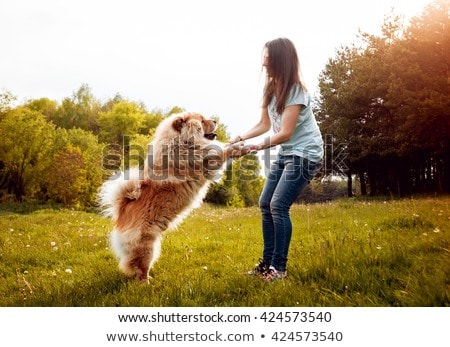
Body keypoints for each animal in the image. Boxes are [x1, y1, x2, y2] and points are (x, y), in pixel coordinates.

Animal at [99, 113, 243, 284]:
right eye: (202, 121)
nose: (215, 120)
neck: (181, 142)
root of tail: (122, 212)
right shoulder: (204, 161)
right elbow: (220, 152)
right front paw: (239, 147)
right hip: (146, 246)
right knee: (139, 267)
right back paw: (146, 283)